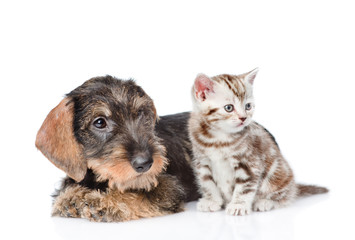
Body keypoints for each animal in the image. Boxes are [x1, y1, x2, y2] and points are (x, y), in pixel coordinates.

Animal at [37, 76, 202, 221]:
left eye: (141, 113)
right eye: (99, 122)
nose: (145, 163)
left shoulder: (169, 187)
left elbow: (138, 194)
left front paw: (104, 202)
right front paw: (70, 197)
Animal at [188, 68, 330, 216]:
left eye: (248, 106)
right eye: (229, 108)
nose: (243, 118)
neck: (218, 138)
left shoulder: (249, 163)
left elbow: (245, 186)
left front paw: (238, 205)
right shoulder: (202, 162)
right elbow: (207, 183)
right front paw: (212, 201)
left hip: (278, 176)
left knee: (284, 196)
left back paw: (265, 202)